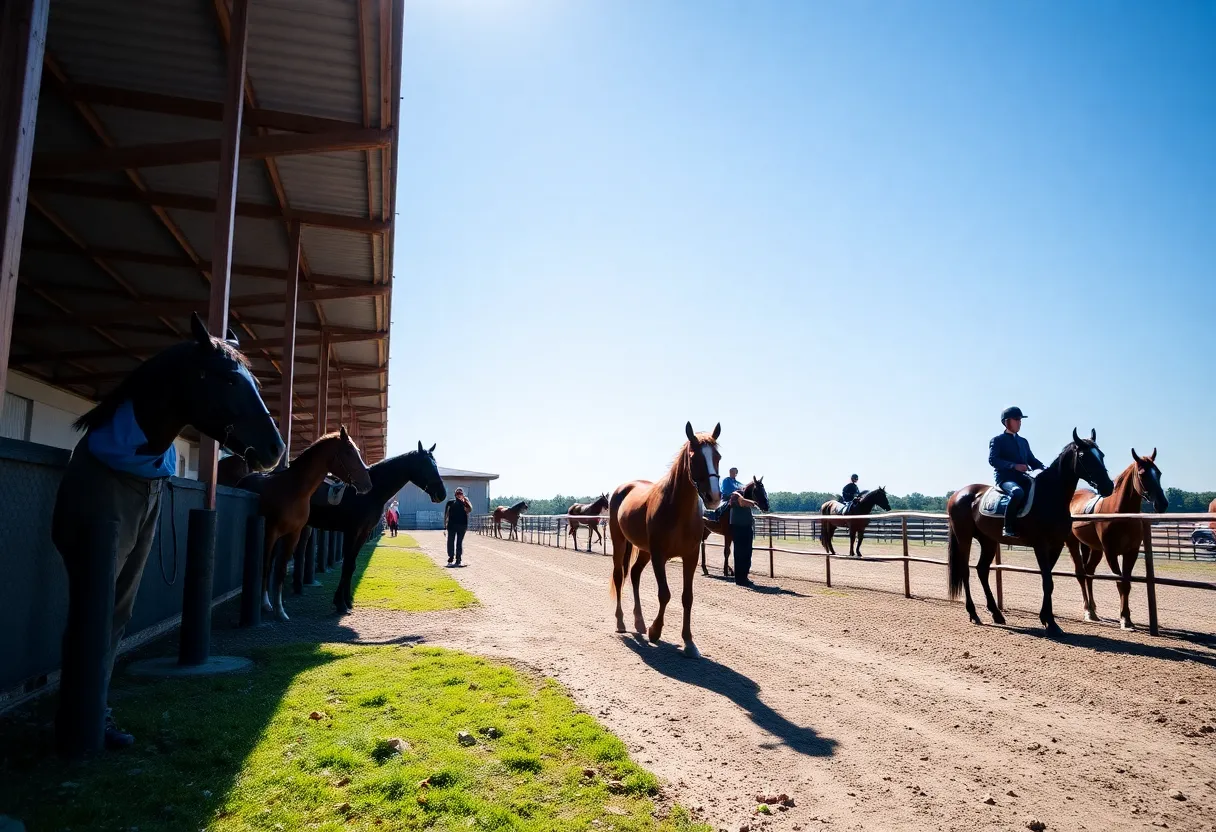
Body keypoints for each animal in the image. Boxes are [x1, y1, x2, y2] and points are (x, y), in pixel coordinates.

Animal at [237, 427, 373, 621]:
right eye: (349, 451)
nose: (367, 484)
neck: (294, 490)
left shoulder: (294, 534)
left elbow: (281, 569)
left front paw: (280, 611)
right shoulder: (270, 531)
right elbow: (267, 565)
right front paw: (266, 604)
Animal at [308, 442, 446, 613]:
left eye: (435, 464)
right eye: (425, 465)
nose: (442, 494)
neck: (368, 493)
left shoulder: (362, 534)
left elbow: (351, 566)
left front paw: (347, 600)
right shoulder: (351, 532)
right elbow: (346, 565)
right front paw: (340, 603)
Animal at [610, 422, 721, 658]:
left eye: (718, 456)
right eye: (694, 457)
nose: (714, 497)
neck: (676, 510)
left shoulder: (691, 557)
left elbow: (687, 597)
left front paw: (689, 643)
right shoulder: (659, 556)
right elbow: (664, 594)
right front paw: (655, 631)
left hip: (644, 550)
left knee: (634, 575)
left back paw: (639, 622)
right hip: (620, 542)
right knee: (619, 575)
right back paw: (622, 622)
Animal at [947, 428, 1114, 637]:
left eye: (1102, 455)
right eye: (1084, 456)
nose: (1108, 486)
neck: (1049, 496)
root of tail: (958, 494)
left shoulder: (1056, 546)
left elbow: (1048, 581)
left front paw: (1047, 619)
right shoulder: (1040, 545)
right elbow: (1047, 581)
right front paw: (1050, 622)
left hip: (988, 541)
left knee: (982, 570)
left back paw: (996, 614)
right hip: (964, 537)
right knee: (965, 570)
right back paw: (973, 614)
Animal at [1066, 449, 1168, 630]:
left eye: (1159, 473)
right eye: (1142, 474)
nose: (1162, 504)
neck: (1120, 513)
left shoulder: (1131, 551)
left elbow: (1126, 583)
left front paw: (1127, 618)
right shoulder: (1111, 552)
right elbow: (1120, 582)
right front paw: (1124, 618)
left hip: (1094, 549)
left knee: (1089, 572)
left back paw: (1093, 610)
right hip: (1073, 544)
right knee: (1081, 574)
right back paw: (1088, 610)